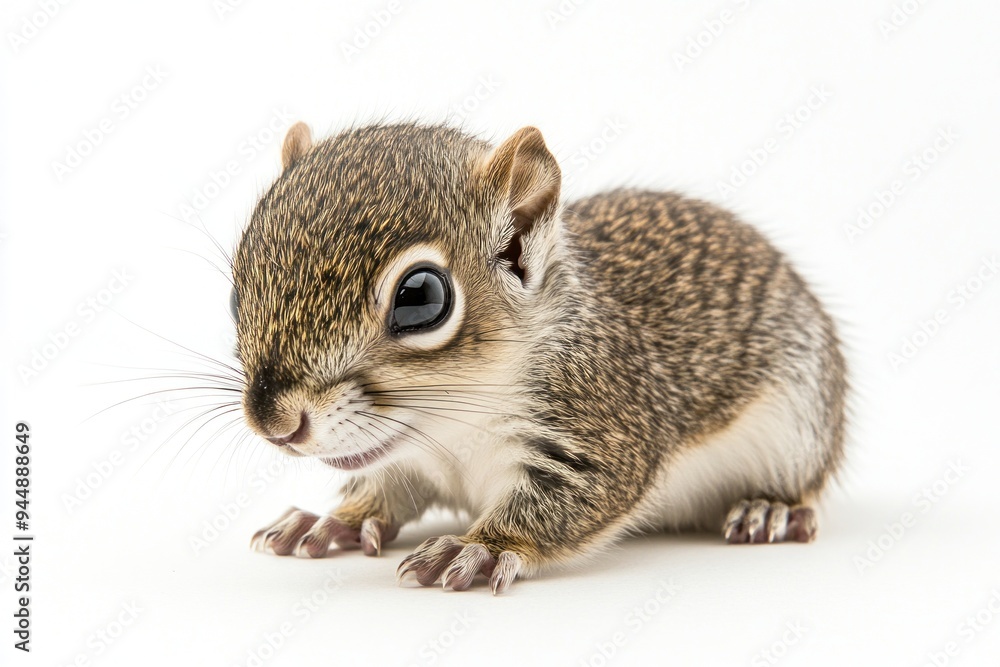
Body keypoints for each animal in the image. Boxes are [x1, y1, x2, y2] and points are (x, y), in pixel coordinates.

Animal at [234, 121, 847, 594]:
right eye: (239, 285)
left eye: (421, 297)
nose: (274, 423)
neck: (452, 426)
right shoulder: (406, 462)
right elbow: (385, 491)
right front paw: (334, 519)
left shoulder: (603, 418)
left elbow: (571, 499)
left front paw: (479, 548)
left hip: (800, 427)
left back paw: (771, 508)